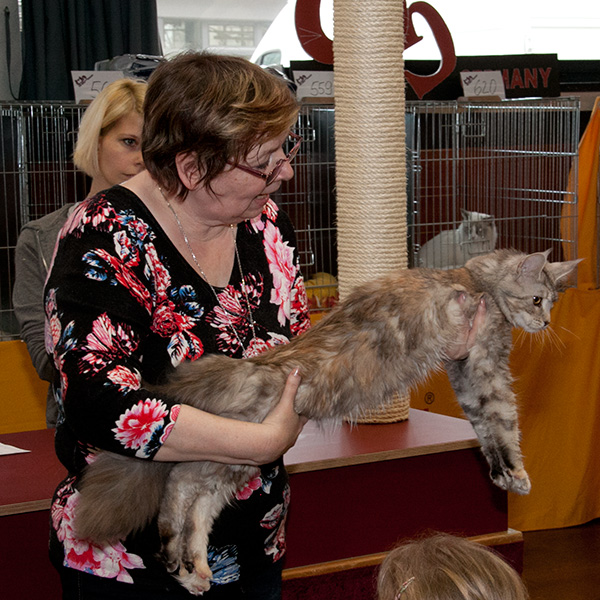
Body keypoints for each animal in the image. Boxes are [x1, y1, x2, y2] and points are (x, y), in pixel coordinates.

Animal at [75, 249, 579, 595]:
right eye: (537, 299)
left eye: (553, 301)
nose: (546, 322)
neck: (475, 279)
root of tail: (243, 369)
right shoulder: (485, 365)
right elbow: (504, 421)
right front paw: (518, 475)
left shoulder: (468, 371)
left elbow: (485, 427)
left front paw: (502, 474)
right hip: (224, 450)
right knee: (177, 487)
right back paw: (174, 557)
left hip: (236, 463)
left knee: (197, 508)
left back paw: (194, 570)